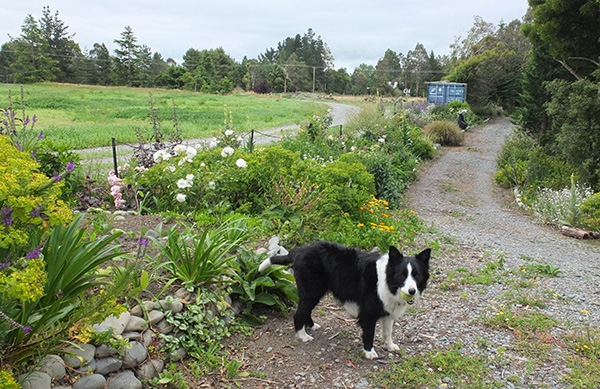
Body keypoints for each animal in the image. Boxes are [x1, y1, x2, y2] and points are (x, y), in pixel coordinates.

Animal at [258, 241, 432, 360]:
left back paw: (312, 326)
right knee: (299, 313)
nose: (412, 291)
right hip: (311, 292)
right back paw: (303, 336)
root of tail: (299, 250)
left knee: (305, 311)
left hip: (314, 293)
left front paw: (389, 346)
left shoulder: (388, 309)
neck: (387, 280)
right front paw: (369, 352)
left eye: (416, 275)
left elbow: (387, 332)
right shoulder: (368, 313)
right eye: (402, 275)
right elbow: (369, 334)